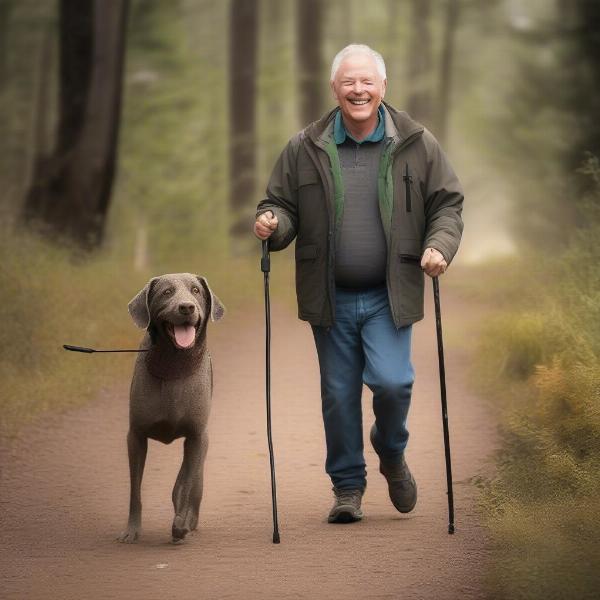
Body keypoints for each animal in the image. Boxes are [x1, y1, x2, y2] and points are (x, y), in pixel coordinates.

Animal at [118, 274, 225, 544]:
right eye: (166, 292)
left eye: (196, 291)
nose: (187, 307)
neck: (173, 364)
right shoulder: (135, 436)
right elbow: (135, 489)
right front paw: (132, 530)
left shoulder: (197, 437)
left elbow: (185, 483)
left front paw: (181, 524)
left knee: (191, 482)